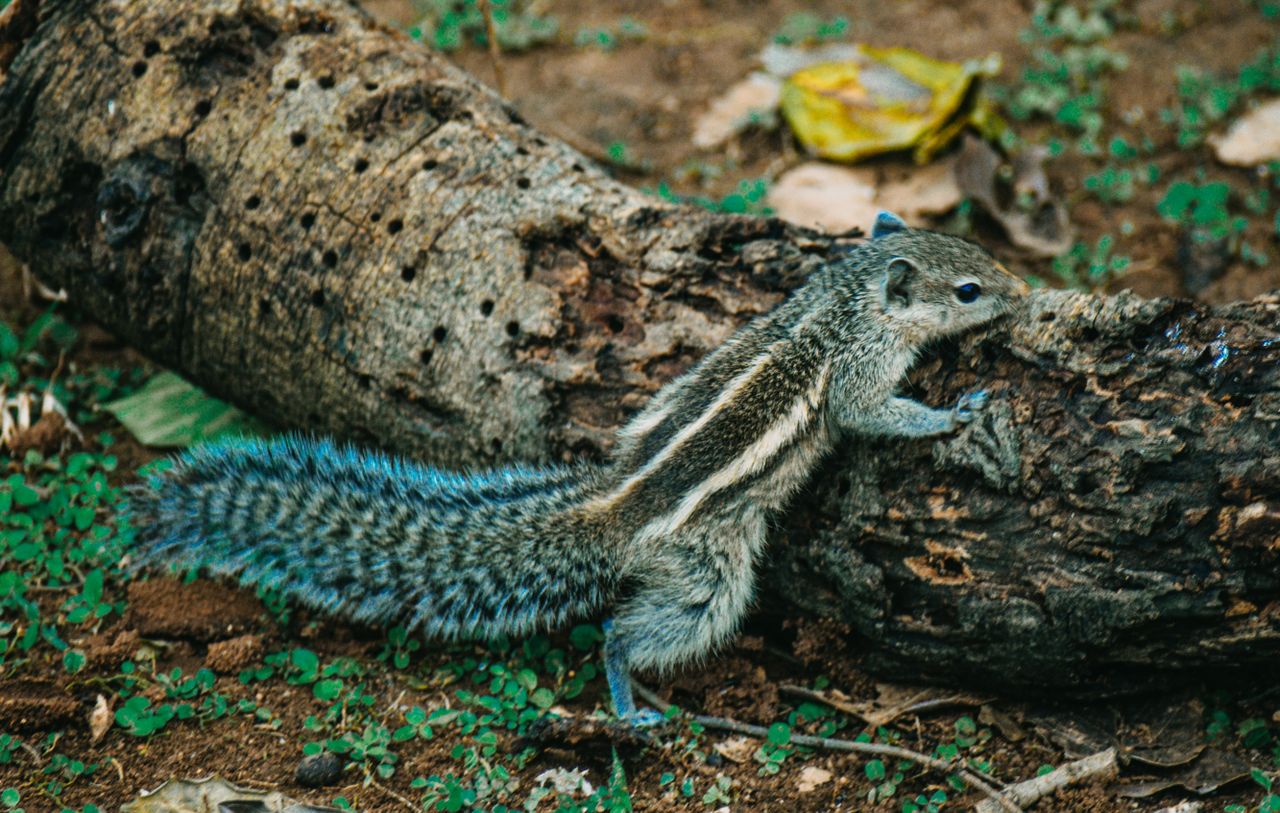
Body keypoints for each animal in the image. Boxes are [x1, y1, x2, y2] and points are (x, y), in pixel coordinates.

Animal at [128, 212, 1029, 726]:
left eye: (986, 252)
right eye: (969, 288)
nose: (1022, 293)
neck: (847, 298)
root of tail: (617, 506)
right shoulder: (859, 370)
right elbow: (872, 412)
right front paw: (956, 413)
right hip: (707, 571)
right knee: (630, 630)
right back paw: (629, 698)